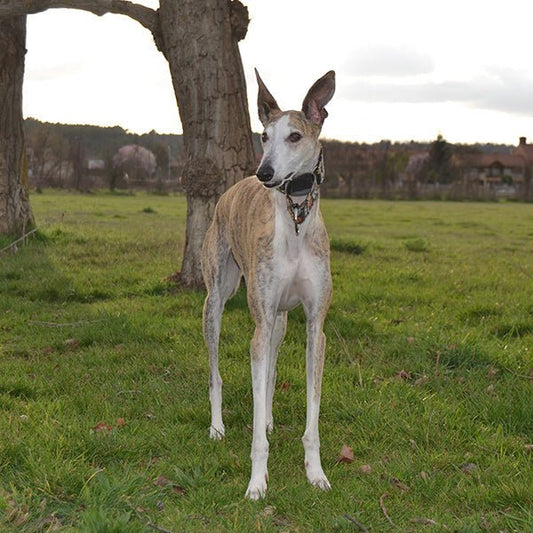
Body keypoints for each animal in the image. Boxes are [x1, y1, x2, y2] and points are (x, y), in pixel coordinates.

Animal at [202, 67, 334, 498]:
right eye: (263, 135)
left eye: (294, 136)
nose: (265, 174)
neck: (295, 219)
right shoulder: (257, 329)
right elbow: (256, 427)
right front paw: (257, 482)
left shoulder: (314, 326)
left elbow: (311, 412)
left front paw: (315, 472)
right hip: (217, 300)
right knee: (216, 372)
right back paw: (217, 427)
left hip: (280, 320)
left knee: (272, 373)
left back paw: (272, 417)